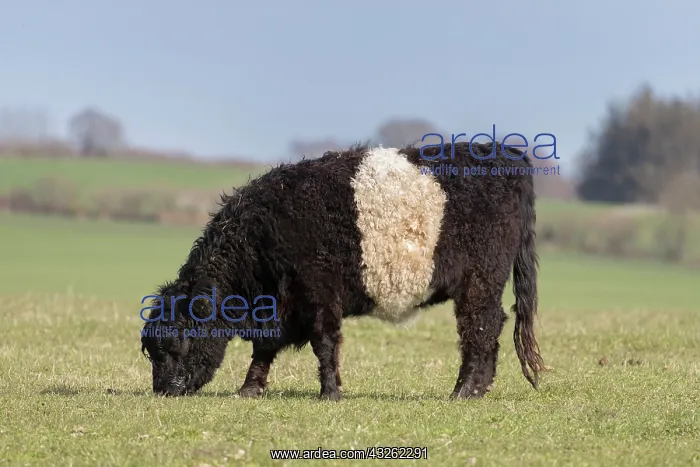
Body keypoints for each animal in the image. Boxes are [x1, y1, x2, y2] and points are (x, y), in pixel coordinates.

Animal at [140, 141, 545, 401]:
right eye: (152, 352)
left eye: (178, 343)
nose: (165, 390)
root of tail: (504, 155)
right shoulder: (280, 305)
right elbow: (265, 348)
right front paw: (249, 389)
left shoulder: (319, 293)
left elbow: (324, 343)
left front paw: (330, 392)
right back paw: (477, 390)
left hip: (480, 280)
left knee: (480, 327)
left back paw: (463, 391)